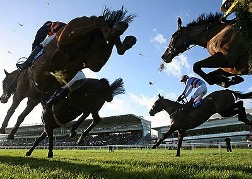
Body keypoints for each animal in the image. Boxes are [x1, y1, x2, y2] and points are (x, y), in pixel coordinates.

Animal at [0, 6, 136, 138]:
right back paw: (123, 37)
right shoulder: (33, 100)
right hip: (94, 59)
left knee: (99, 20)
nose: (2, 99)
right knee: (110, 39)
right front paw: (11, 133)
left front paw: (3, 127)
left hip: (68, 39)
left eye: (3, 83)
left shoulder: (21, 93)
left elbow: (12, 109)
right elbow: (21, 116)